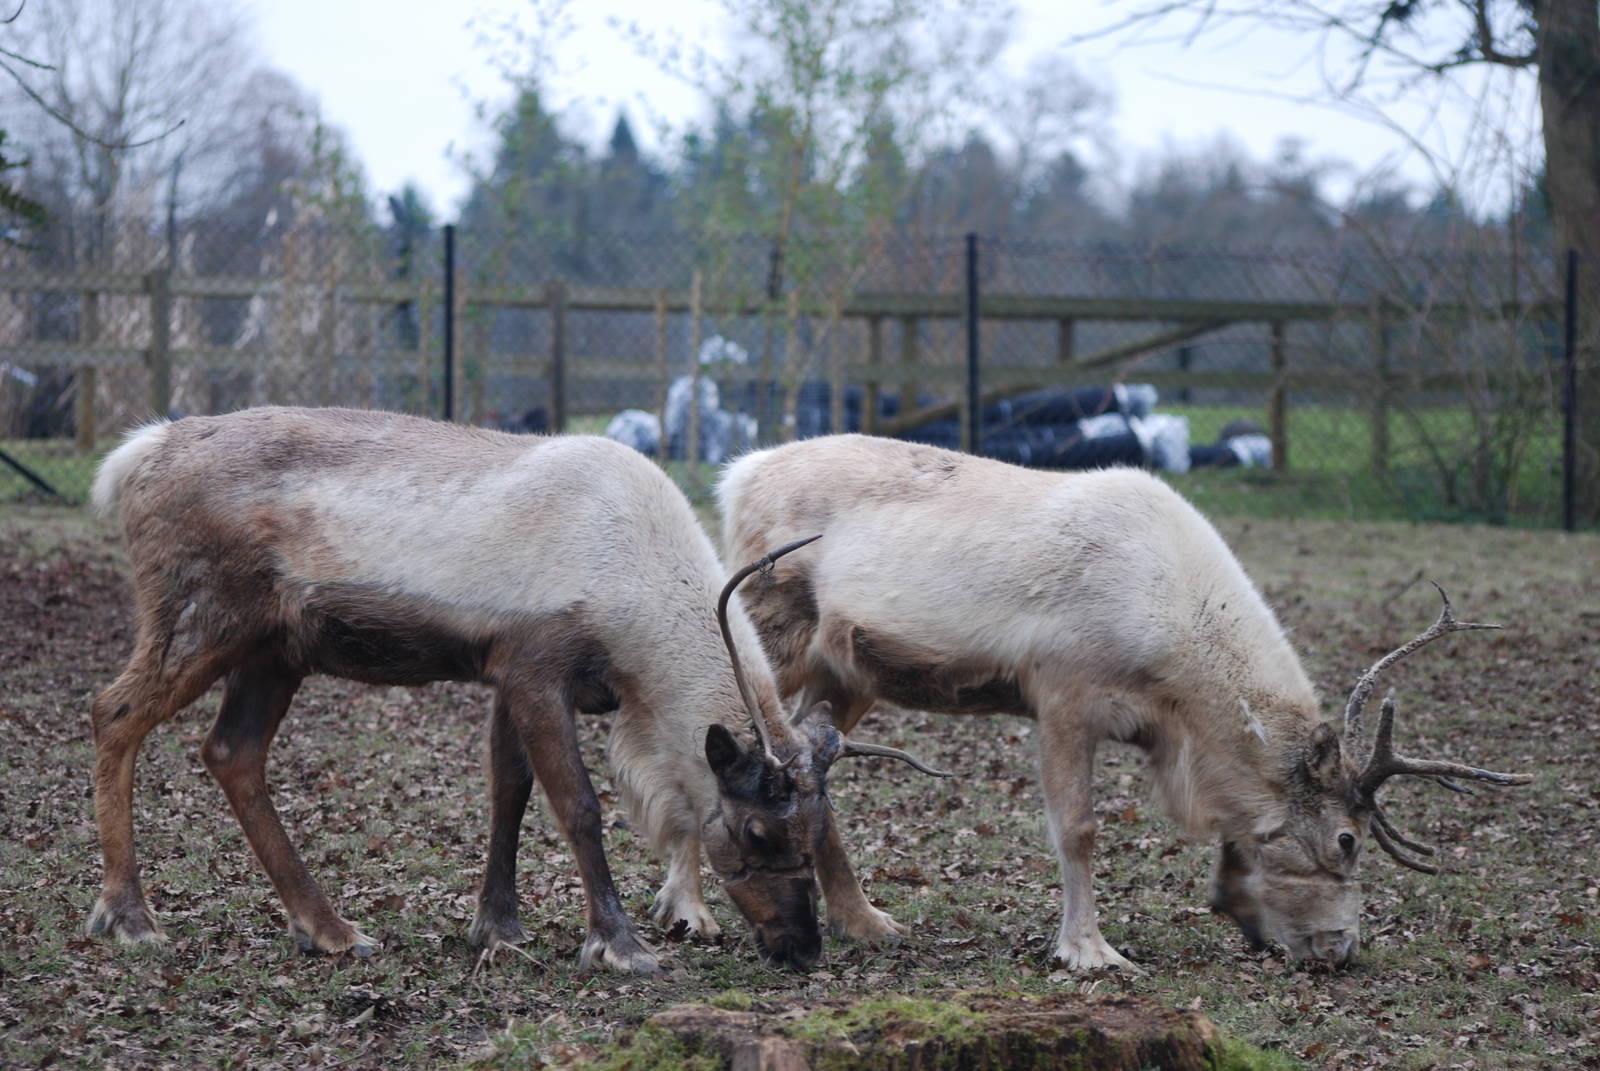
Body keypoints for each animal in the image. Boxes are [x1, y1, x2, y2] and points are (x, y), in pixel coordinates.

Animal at [83, 407, 942, 973]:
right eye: (759, 831)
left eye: (815, 827)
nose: (801, 947)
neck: (636, 608)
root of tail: (134, 457)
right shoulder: (536, 665)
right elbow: (579, 806)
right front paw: (619, 943)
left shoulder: (503, 669)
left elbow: (508, 793)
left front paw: (496, 925)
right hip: (203, 617)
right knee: (114, 709)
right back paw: (128, 914)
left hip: (277, 650)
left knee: (230, 751)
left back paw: (328, 927)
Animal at [717, 434, 1531, 970]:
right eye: (1346, 841)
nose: (1341, 949)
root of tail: (736, 474)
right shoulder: (1063, 694)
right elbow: (1078, 829)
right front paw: (1090, 952)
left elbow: (1227, 830)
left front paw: (1236, 908)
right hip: (770, 628)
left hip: (850, 674)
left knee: (812, 765)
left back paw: (866, 921)